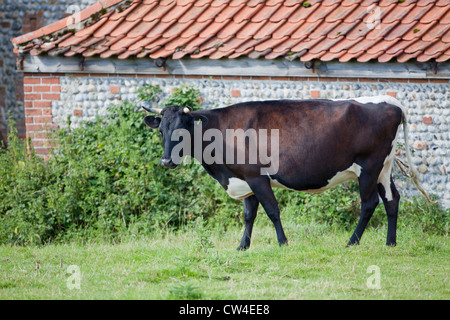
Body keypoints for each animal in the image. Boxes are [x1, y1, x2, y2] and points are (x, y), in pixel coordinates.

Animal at [144, 95, 432, 250]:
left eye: (182, 129)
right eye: (162, 131)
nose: (166, 161)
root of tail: (392, 102)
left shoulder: (257, 177)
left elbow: (272, 211)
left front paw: (283, 242)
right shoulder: (245, 179)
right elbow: (249, 215)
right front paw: (242, 246)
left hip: (369, 167)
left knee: (370, 202)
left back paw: (352, 242)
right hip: (384, 167)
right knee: (392, 200)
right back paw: (390, 243)